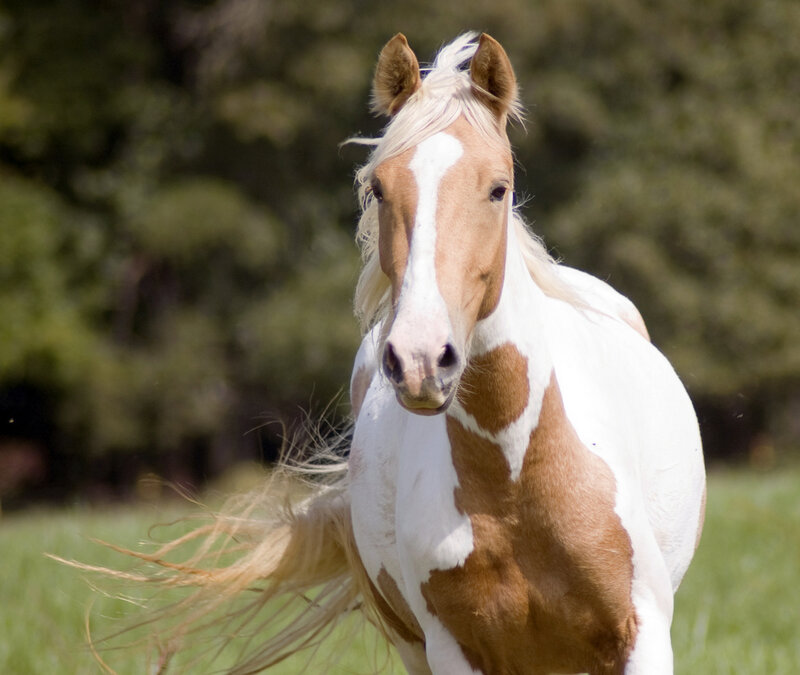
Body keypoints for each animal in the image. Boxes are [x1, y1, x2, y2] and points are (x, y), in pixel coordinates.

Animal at [79, 32, 705, 675]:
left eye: (498, 188)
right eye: (379, 188)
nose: (422, 359)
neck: (517, 491)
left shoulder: (640, 634)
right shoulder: (452, 648)